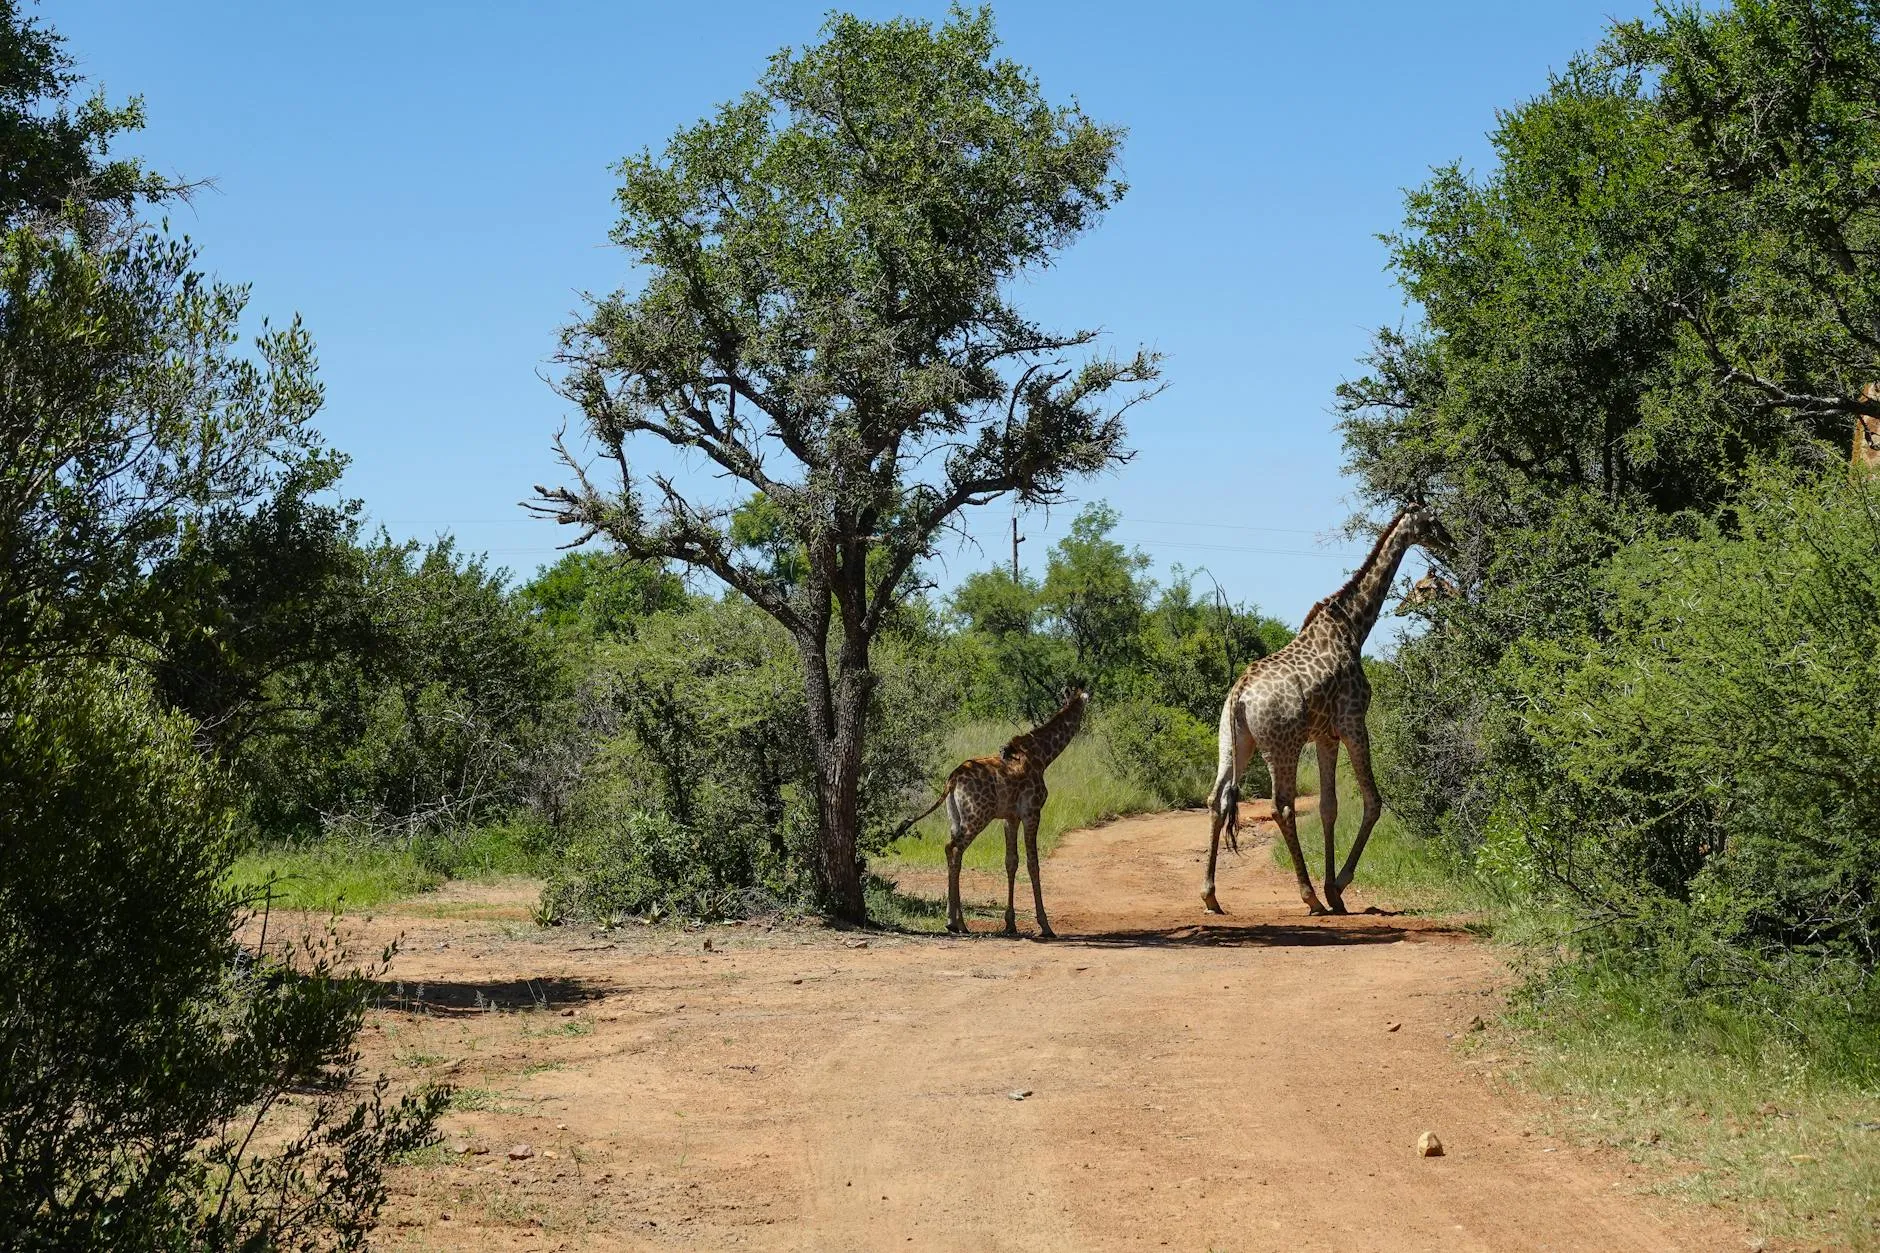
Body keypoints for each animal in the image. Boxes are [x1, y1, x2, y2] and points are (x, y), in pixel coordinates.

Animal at [890, 688, 1089, 937]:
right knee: (954, 849)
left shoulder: (1010, 818)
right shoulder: (1032, 812)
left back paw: (953, 920)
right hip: (977, 816)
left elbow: (1011, 862)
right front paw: (1045, 925)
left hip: (956, 819)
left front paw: (1010, 923)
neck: (1043, 756)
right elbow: (1033, 863)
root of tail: (952, 780)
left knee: (951, 851)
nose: (1083, 730)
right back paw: (958, 923)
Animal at [1203, 505, 1451, 917]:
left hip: (1234, 740)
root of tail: (1239, 694)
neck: (1354, 627)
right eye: (1431, 521)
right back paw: (1310, 897)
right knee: (1282, 807)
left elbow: (1328, 807)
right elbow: (1373, 802)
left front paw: (1334, 889)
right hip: (1282, 746)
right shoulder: (1353, 722)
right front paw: (1336, 887)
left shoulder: (1325, 735)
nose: (1448, 541)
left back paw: (1210, 896)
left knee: (1217, 799)